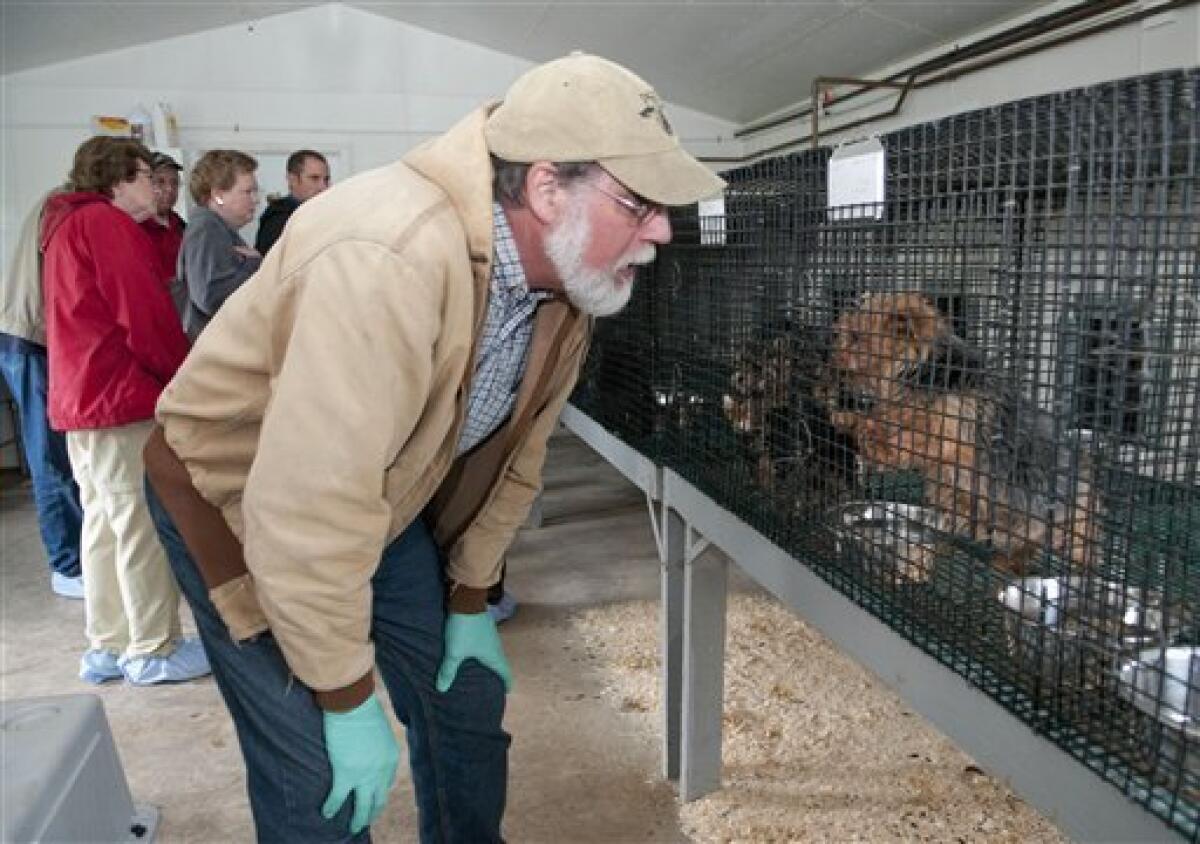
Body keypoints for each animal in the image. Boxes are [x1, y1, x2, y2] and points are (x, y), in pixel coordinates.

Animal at [825, 291, 1099, 581]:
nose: (831, 362)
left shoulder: (948, 427)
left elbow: (910, 436)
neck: (923, 370)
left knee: (1067, 542)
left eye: (856, 336)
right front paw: (848, 418)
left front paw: (870, 435)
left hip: (1065, 513)